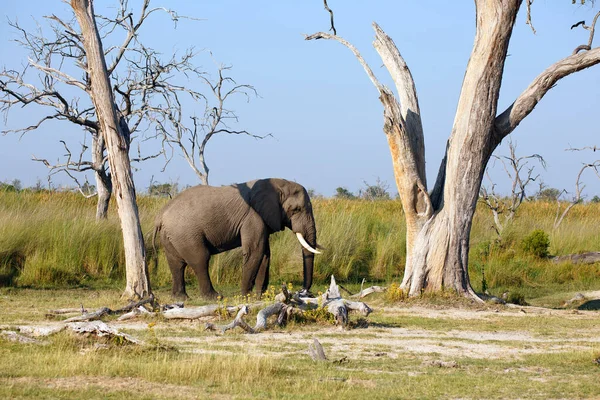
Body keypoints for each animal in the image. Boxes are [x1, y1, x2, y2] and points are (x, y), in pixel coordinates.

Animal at [155, 179, 322, 300]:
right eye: (296, 210)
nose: (303, 292)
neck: (278, 183)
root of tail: (161, 215)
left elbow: (265, 254)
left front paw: (260, 296)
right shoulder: (252, 217)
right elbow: (255, 252)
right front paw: (246, 296)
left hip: (172, 235)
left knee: (176, 263)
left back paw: (180, 298)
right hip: (185, 232)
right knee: (200, 259)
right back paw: (215, 297)